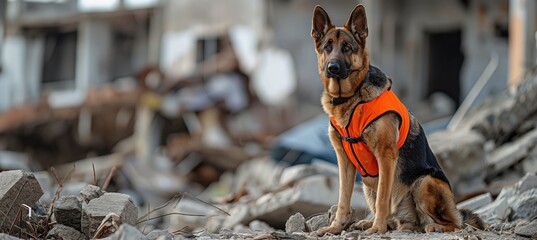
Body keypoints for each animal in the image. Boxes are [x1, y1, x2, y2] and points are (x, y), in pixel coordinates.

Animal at [310, 4, 482, 235]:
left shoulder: (385, 156)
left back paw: (431, 226)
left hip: (424, 182)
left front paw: (377, 228)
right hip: (367, 185)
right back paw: (373, 222)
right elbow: (343, 200)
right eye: (328, 46)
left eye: (347, 47)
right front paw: (336, 227)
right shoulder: (344, 161)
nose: (333, 68)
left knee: (454, 223)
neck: (351, 98)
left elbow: (383, 198)